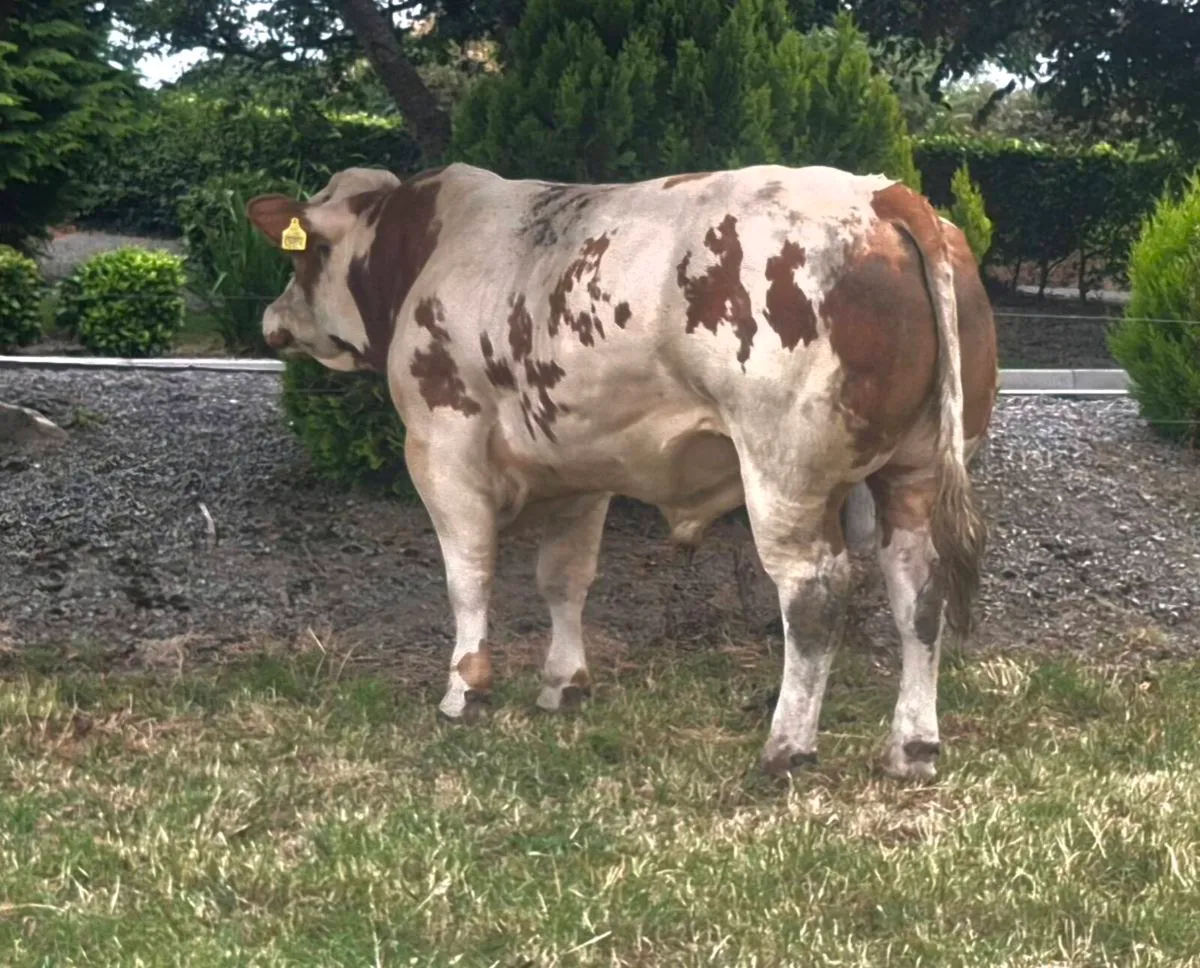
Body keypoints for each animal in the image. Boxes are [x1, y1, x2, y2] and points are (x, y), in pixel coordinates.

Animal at [246, 161, 997, 780]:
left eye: (302, 258)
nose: (271, 316)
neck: (426, 244)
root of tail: (884, 195)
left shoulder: (443, 441)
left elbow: (469, 575)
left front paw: (466, 690)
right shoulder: (579, 463)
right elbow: (564, 579)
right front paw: (564, 683)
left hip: (786, 473)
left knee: (814, 592)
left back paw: (786, 748)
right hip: (916, 469)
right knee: (918, 588)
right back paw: (912, 747)